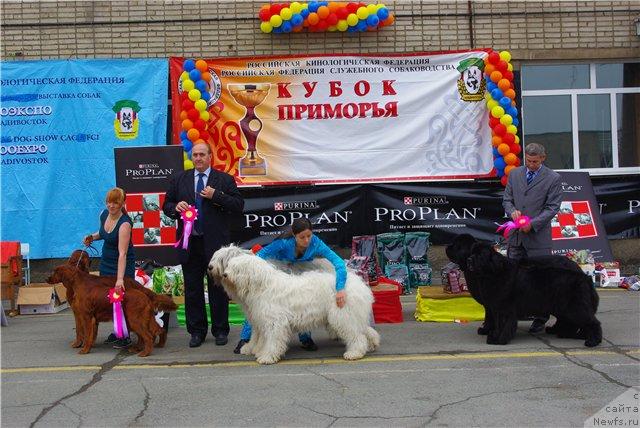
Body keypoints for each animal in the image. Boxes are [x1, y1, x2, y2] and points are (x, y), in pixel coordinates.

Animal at [444, 234, 600, 348]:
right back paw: (564, 332)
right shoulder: (494, 306)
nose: (447, 246)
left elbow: (500, 323)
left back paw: (591, 341)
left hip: (574, 307)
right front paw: (492, 334)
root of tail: (584, 276)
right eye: (471, 253)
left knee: (592, 322)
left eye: (480, 255)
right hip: (563, 307)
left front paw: (497, 339)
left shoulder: (503, 308)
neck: (493, 273)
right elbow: (495, 321)